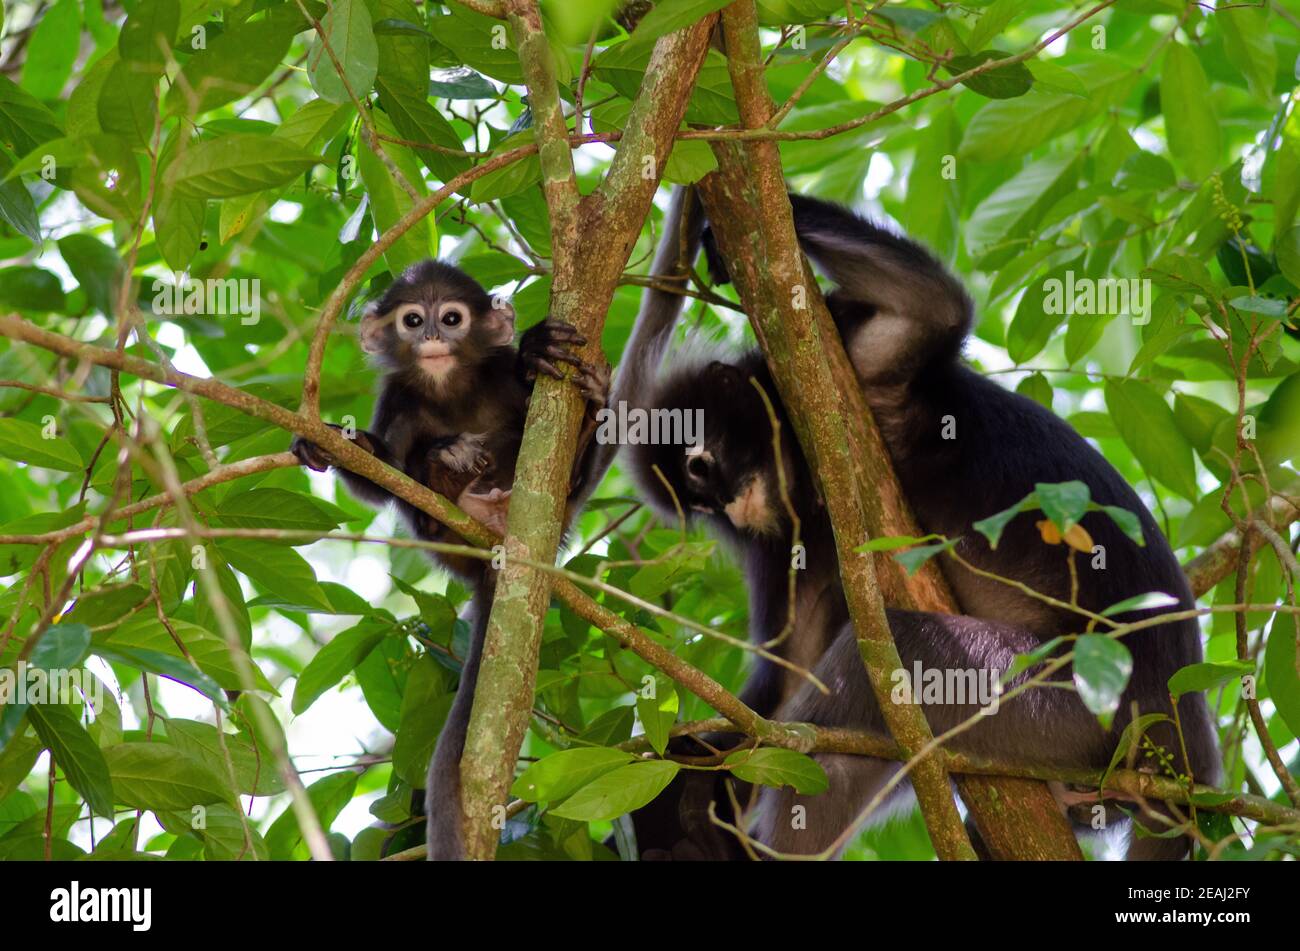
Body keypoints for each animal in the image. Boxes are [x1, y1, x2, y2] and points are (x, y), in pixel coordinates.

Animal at [616, 187, 1216, 862]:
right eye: (702, 507)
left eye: (700, 464)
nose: (734, 509)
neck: (804, 476)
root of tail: (1185, 744)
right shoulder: (791, 540)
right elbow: (788, 671)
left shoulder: (858, 363)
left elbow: (932, 305)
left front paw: (725, 204)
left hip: (1067, 699)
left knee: (887, 662)